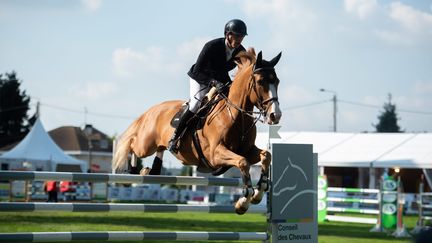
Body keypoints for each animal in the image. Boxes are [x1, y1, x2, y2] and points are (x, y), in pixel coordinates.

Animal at [114, 49, 284, 215]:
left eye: (277, 81)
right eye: (260, 82)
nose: (275, 115)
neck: (235, 116)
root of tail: (154, 109)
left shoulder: (247, 150)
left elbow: (266, 155)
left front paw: (258, 193)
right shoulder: (215, 155)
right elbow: (243, 162)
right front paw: (243, 202)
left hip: (155, 145)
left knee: (157, 153)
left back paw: (147, 170)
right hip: (146, 145)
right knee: (132, 144)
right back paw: (132, 170)